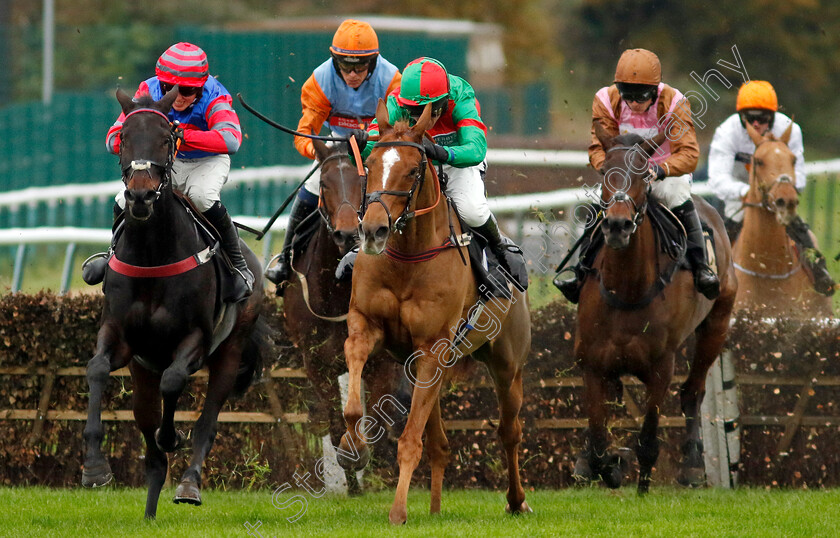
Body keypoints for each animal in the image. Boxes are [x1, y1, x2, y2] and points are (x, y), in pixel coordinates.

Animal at [80, 89, 268, 520]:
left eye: (167, 138)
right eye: (124, 137)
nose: (140, 195)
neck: (153, 255)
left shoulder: (195, 340)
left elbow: (175, 381)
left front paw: (172, 435)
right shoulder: (120, 336)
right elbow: (96, 368)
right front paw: (95, 466)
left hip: (230, 351)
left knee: (206, 423)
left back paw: (188, 484)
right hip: (142, 369)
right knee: (149, 436)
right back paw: (150, 507)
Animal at [280, 137, 408, 490]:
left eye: (361, 182)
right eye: (324, 183)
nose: (348, 233)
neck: (337, 294)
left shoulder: (383, 362)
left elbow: (377, 416)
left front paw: (369, 468)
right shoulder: (316, 364)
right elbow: (336, 422)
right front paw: (352, 478)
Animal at [336, 101, 528, 524]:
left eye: (412, 170)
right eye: (369, 163)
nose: (373, 231)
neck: (407, 257)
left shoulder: (431, 347)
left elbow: (410, 439)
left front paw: (398, 511)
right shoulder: (367, 326)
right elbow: (354, 393)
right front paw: (353, 449)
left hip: (506, 365)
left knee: (509, 431)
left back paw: (517, 500)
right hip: (435, 368)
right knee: (440, 443)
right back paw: (437, 508)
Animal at [576, 123, 736, 492]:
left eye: (643, 176)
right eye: (605, 173)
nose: (617, 225)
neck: (628, 290)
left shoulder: (661, 367)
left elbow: (648, 437)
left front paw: (642, 481)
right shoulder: (593, 364)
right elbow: (598, 439)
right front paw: (607, 464)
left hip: (717, 324)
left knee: (693, 391)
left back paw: (692, 466)